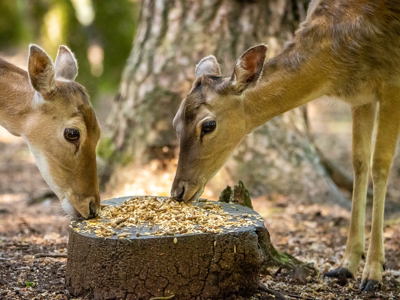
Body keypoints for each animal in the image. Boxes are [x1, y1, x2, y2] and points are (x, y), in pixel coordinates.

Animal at [170, 0, 400, 292]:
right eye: (176, 121)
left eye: (208, 125)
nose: (178, 192)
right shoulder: (362, 97)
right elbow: (359, 162)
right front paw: (345, 265)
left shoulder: (392, 82)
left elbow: (380, 165)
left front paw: (373, 274)